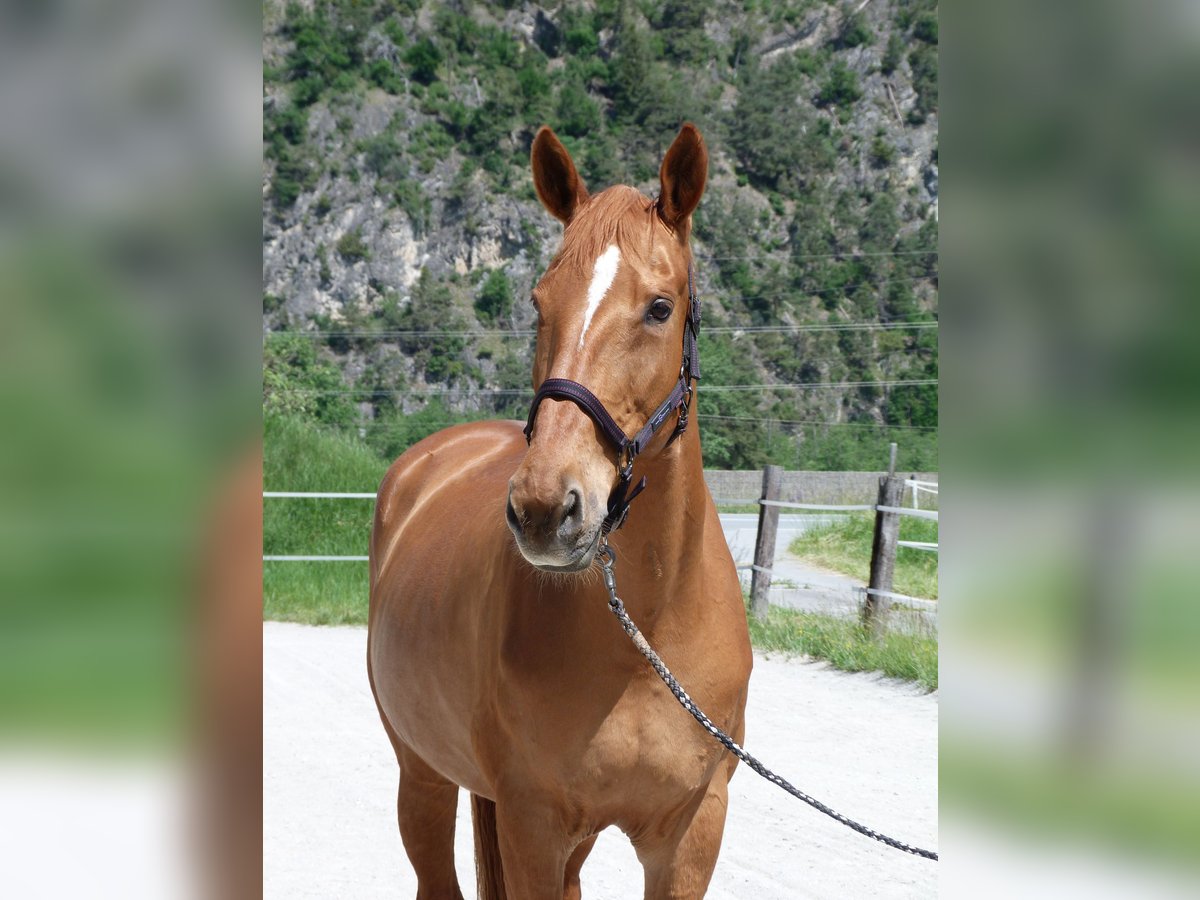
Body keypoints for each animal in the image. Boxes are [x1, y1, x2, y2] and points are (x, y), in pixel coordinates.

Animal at [369, 125, 748, 900]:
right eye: (540, 304)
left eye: (659, 307)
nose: (546, 507)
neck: (647, 637)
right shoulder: (532, 824)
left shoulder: (691, 832)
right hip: (421, 774)